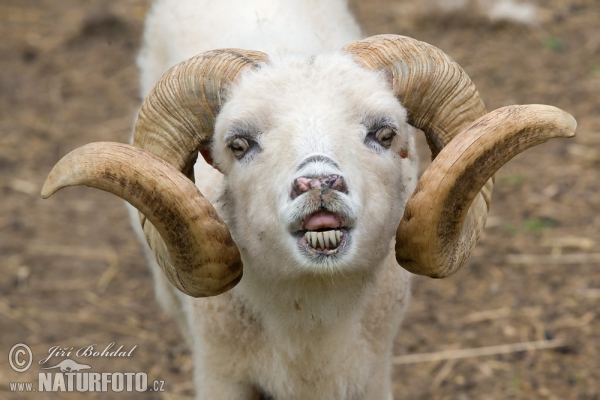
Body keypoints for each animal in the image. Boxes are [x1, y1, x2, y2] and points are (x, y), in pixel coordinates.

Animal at [42, 0, 576, 400]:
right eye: (239, 144)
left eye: (384, 133)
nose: (319, 183)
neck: (310, 327)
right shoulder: (222, 375)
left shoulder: (371, 373)